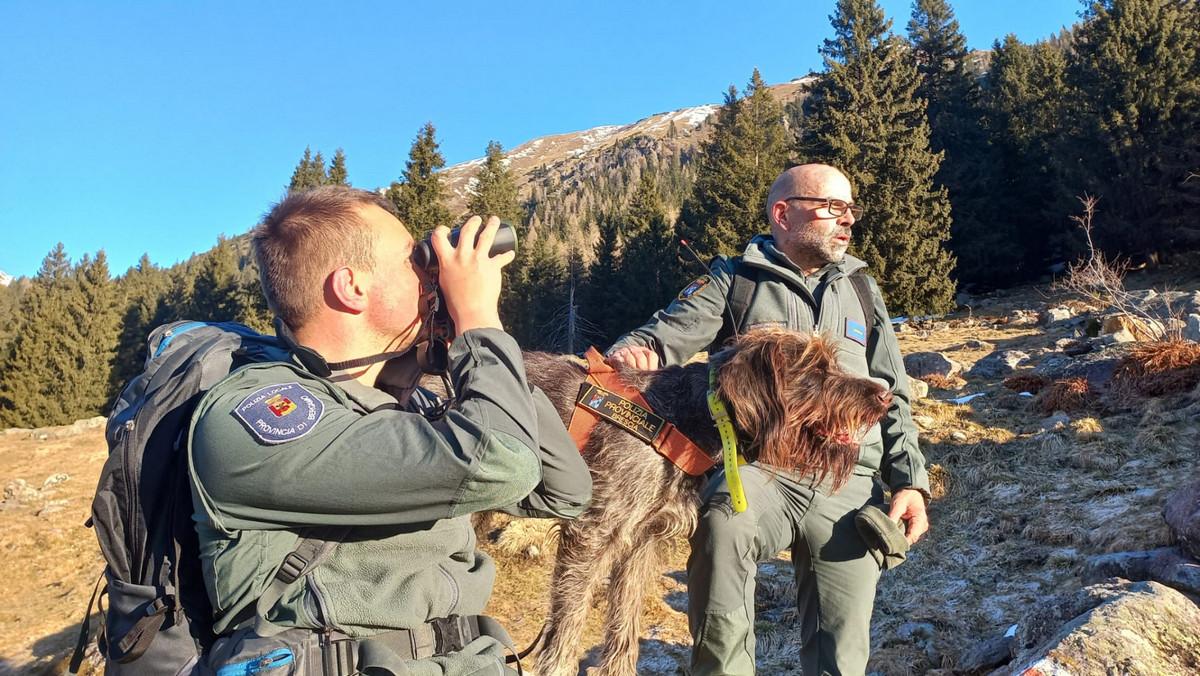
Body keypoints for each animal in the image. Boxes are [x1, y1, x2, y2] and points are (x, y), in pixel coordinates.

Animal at [520, 328, 897, 676]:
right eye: (814, 369)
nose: (885, 395)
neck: (685, 417)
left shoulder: (641, 541)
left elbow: (625, 619)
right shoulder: (593, 533)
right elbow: (568, 624)